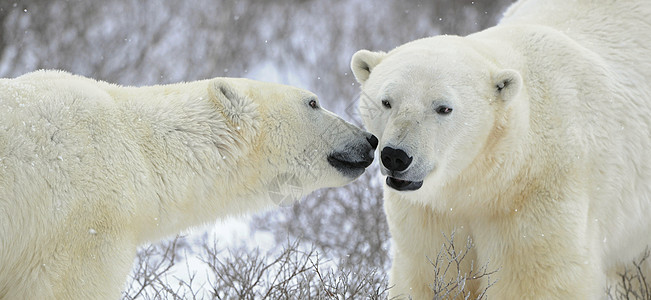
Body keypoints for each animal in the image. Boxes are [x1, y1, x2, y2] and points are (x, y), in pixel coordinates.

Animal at [352, 0, 651, 298]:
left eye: (444, 108)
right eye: (387, 101)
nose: (396, 156)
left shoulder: (537, 195)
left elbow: (537, 279)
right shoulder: (429, 212)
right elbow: (430, 272)